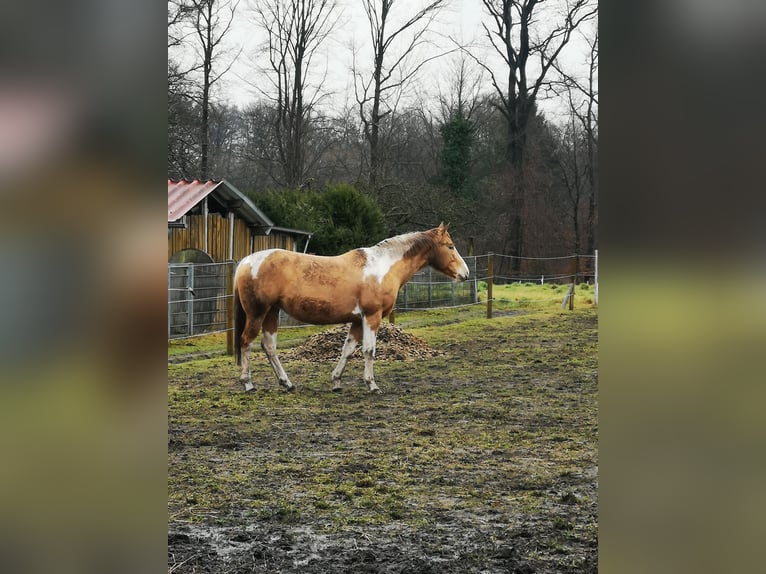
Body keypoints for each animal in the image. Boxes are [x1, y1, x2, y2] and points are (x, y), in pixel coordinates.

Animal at [231, 225, 472, 396]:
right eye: (450, 246)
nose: (465, 273)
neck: (383, 267)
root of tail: (246, 261)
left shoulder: (357, 321)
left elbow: (347, 350)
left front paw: (336, 381)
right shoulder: (372, 317)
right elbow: (369, 351)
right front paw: (372, 385)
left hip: (271, 312)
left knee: (269, 346)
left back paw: (286, 383)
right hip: (257, 313)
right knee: (246, 341)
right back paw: (248, 384)